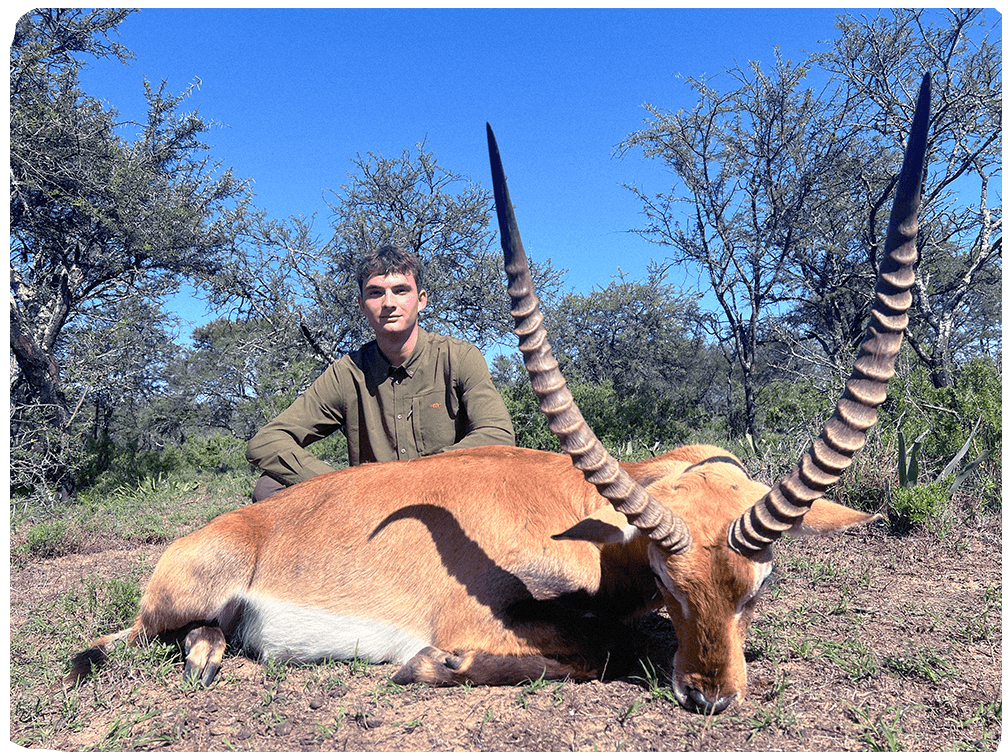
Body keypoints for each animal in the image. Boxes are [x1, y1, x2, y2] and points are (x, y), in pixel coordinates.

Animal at [63, 75, 931, 715]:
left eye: (758, 586)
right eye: (665, 580)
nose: (709, 697)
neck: (577, 517)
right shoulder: (485, 618)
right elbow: (597, 652)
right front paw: (434, 667)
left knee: (196, 639)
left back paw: (210, 659)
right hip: (170, 601)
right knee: (122, 640)